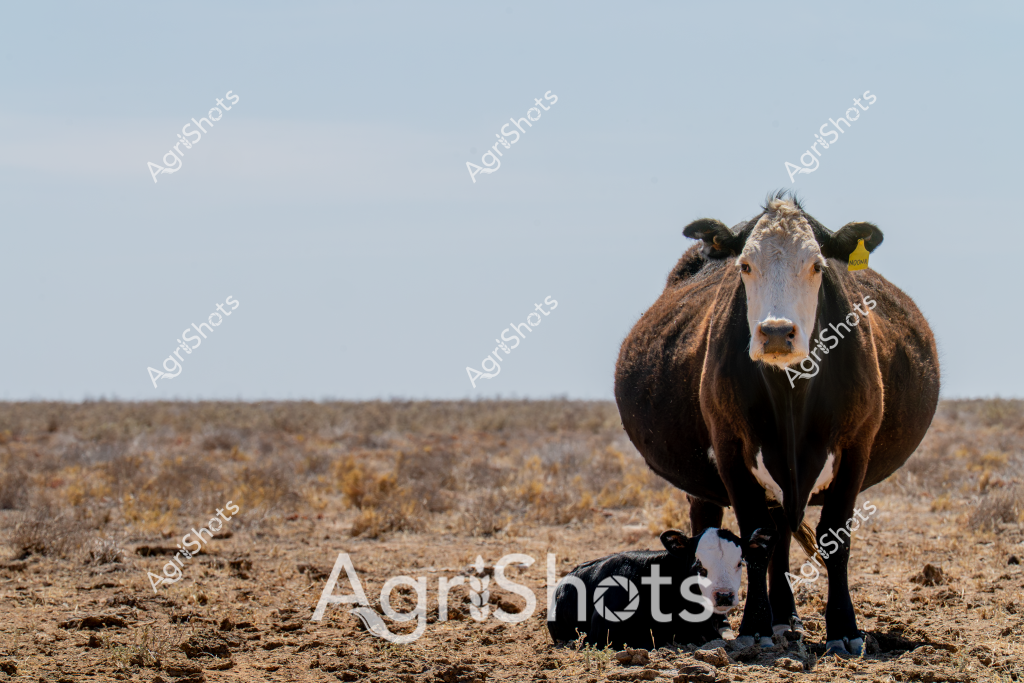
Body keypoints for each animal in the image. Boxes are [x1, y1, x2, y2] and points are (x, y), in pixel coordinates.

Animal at [613, 192, 939, 655]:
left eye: (817, 265)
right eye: (745, 266)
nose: (776, 332)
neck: (791, 398)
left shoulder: (856, 445)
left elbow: (834, 537)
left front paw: (845, 630)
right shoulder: (730, 447)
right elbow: (753, 538)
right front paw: (755, 627)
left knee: (781, 533)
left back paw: (788, 618)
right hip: (704, 482)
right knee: (714, 523)